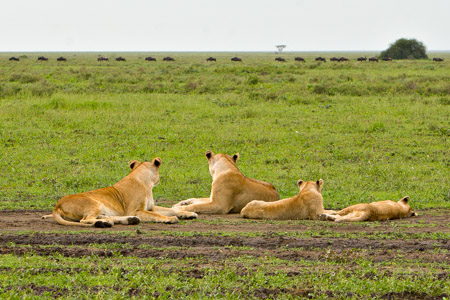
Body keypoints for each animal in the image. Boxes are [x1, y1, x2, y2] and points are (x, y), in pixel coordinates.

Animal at [42, 158, 197, 226]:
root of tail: (57, 205)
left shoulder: (149, 207)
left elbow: (171, 209)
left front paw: (189, 214)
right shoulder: (135, 210)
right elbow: (157, 215)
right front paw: (169, 219)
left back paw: (127, 220)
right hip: (94, 203)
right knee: (85, 220)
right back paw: (107, 223)